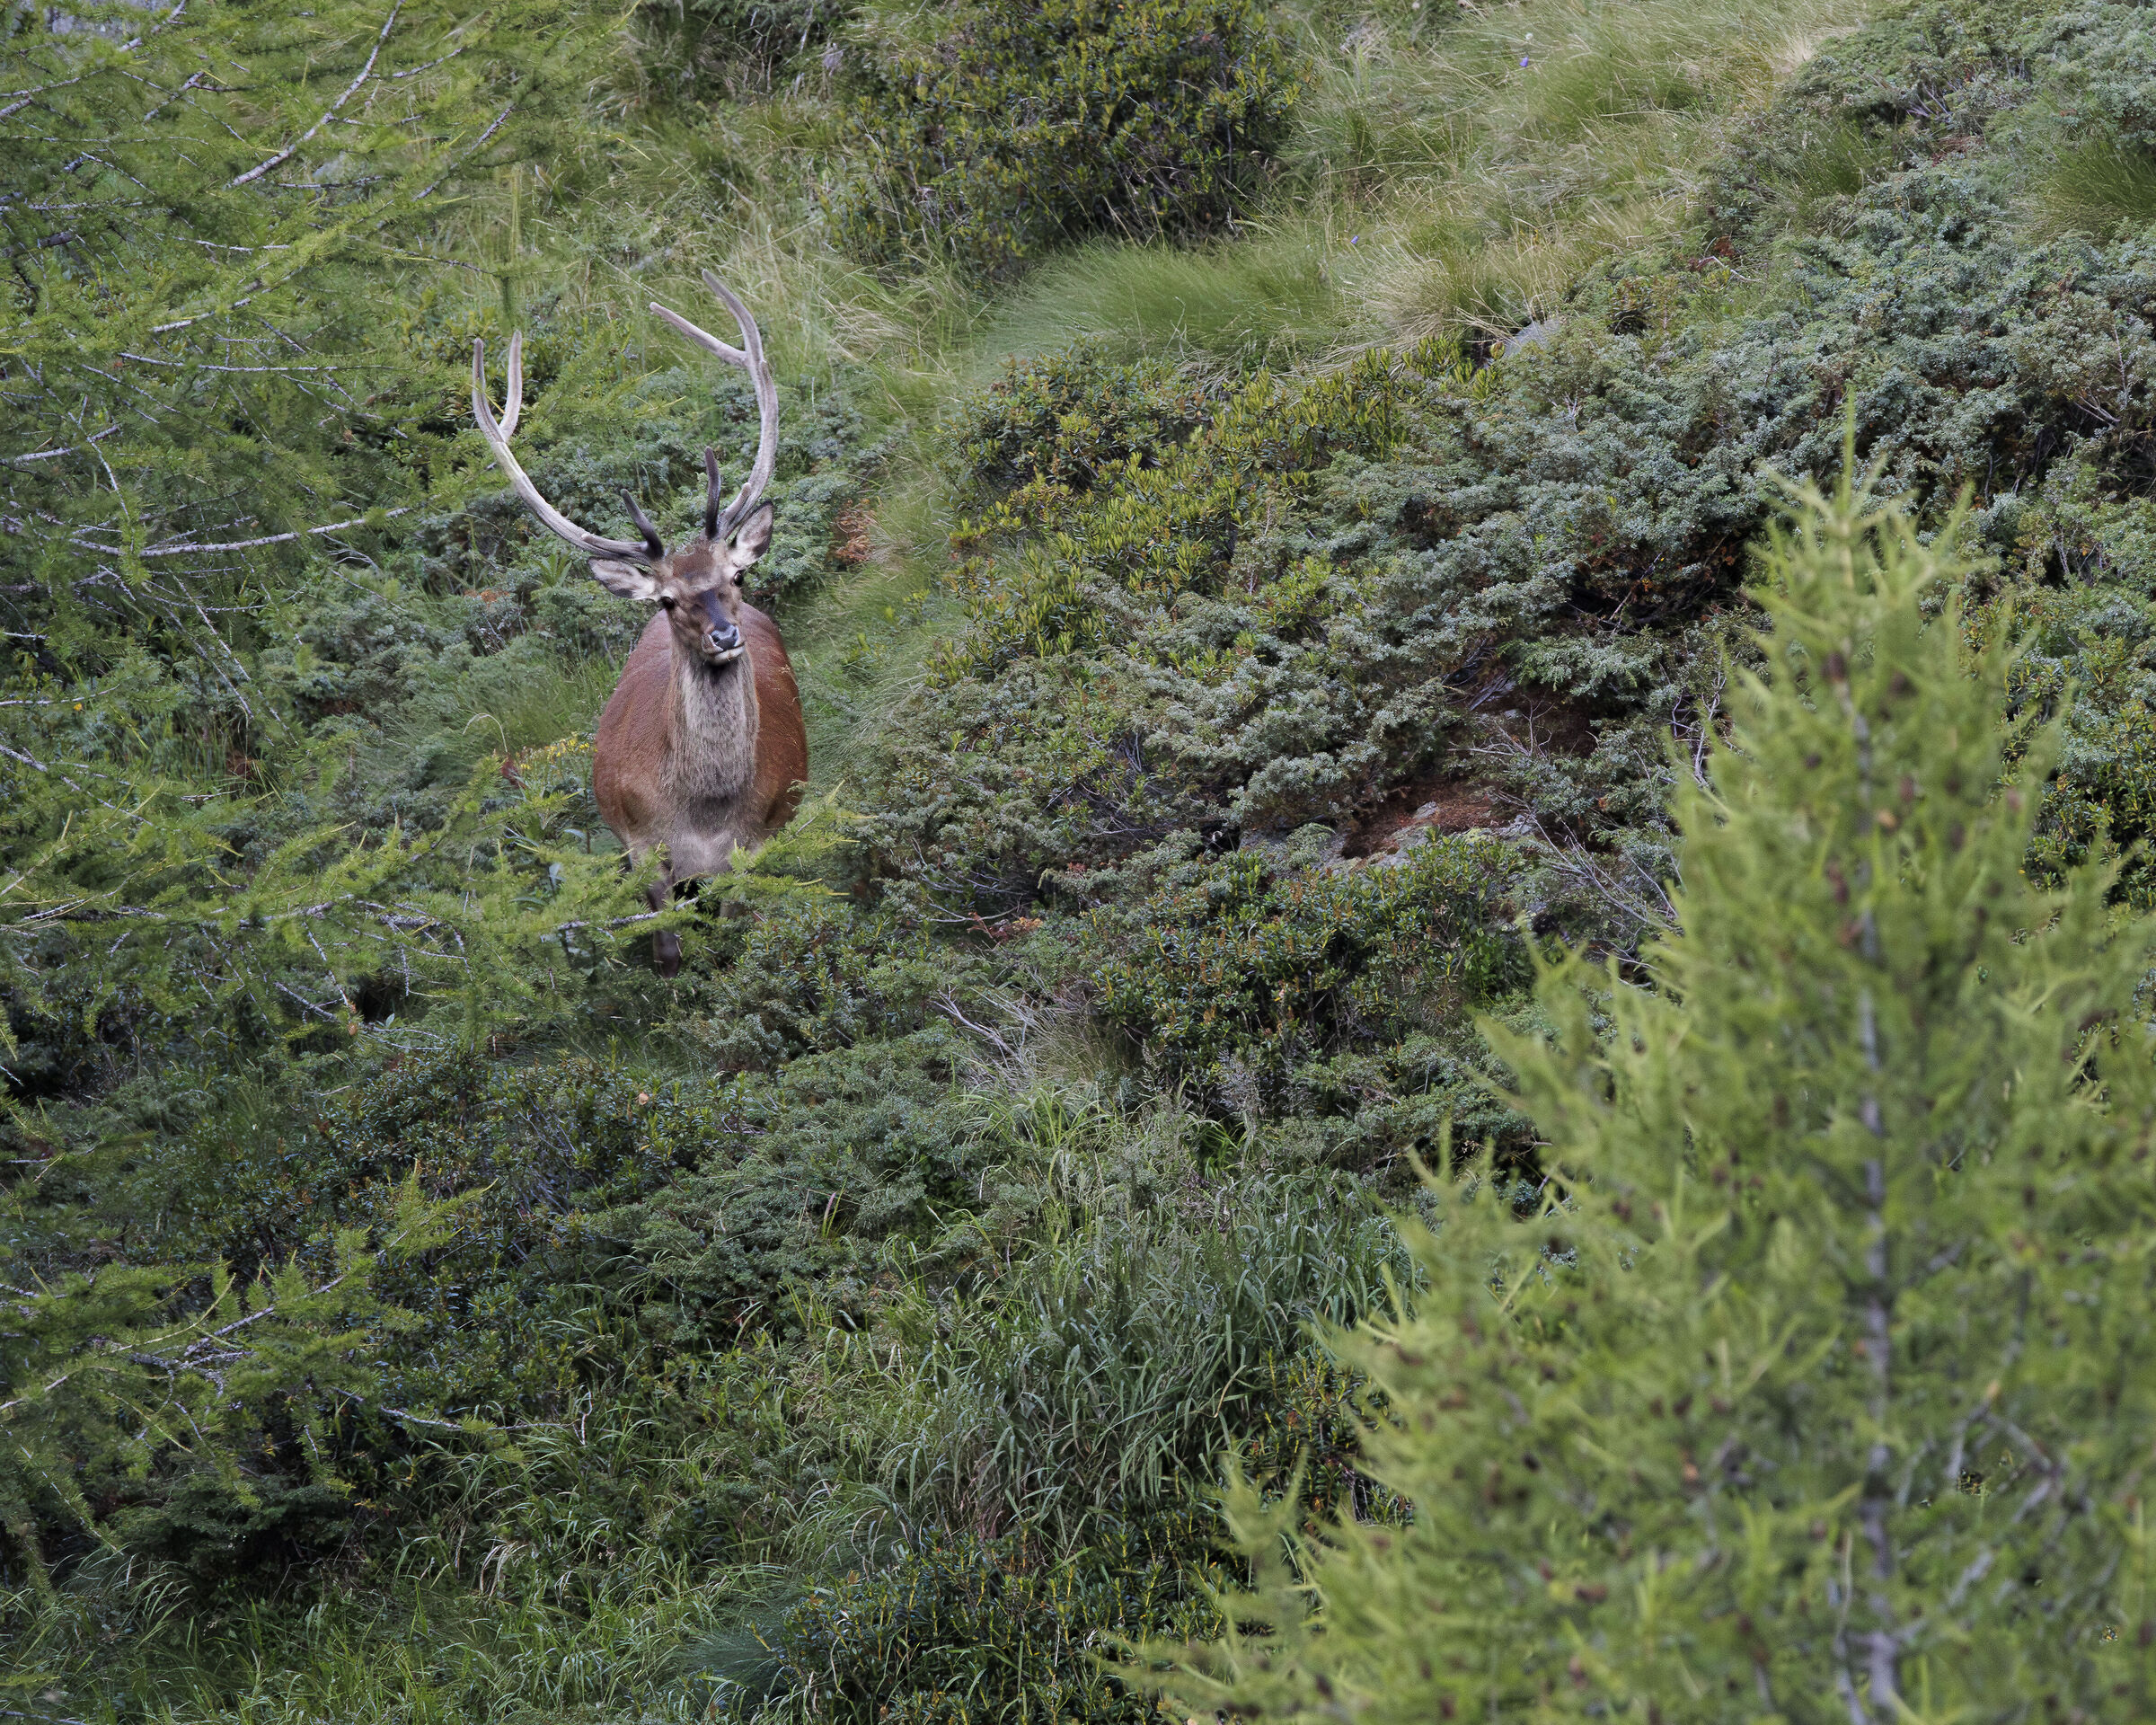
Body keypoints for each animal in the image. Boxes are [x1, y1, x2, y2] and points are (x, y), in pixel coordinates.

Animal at [472, 273, 808, 977]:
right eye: (668, 600)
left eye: (736, 577)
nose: (724, 635)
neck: (704, 822)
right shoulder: (638, 845)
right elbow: (669, 950)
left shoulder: (758, 842)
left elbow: (736, 946)